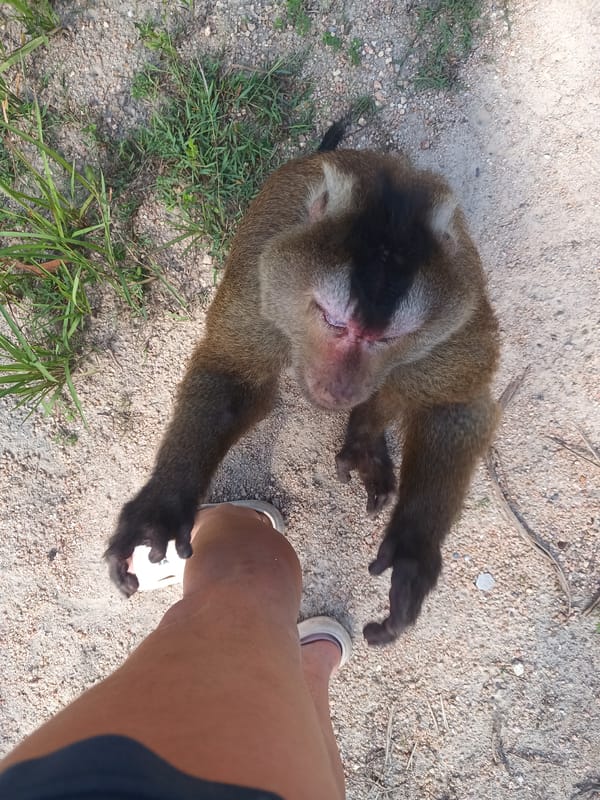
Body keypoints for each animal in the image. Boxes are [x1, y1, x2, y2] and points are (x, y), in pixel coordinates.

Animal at [105, 122, 500, 646]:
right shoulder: (262, 280)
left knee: (404, 383)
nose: (340, 387)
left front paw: (413, 546)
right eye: (333, 322)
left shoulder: (452, 319)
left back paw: (366, 435)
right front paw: (166, 501)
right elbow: (235, 376)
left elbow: (454, 404)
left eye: (385, 338)